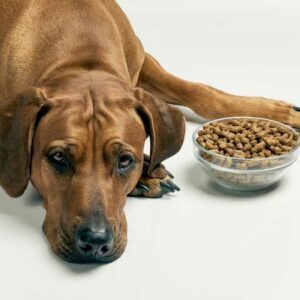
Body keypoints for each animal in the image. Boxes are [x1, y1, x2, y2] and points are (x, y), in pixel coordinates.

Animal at [0, 0, 298, 262]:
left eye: (124, 161)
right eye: (58, 157)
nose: (95, 242)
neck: (81, 57)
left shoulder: (141, 59)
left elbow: (198, 91)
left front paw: (272, 111)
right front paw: (146, 175)